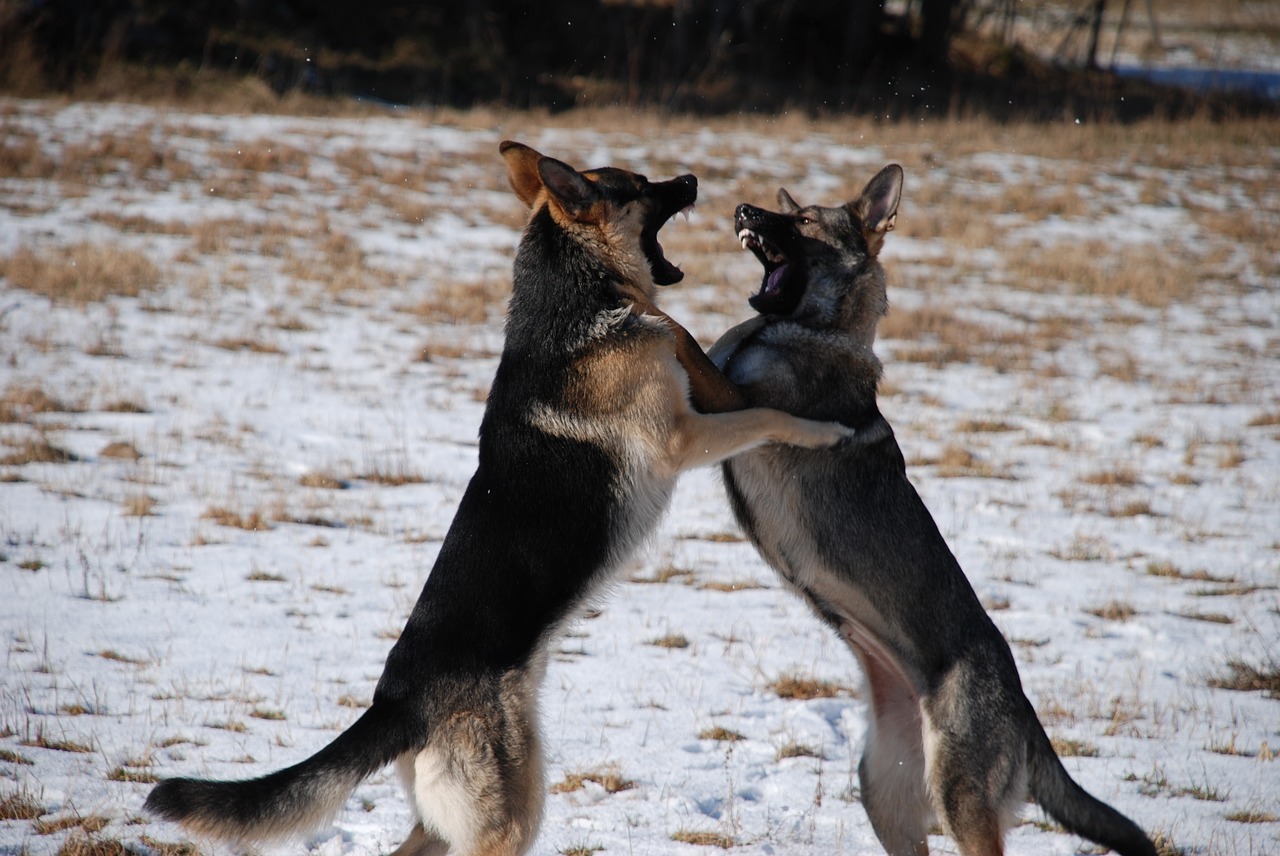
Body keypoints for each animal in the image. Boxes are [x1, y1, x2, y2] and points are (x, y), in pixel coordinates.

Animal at [145, 143, 849, 849]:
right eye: (639, 185)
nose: (692, 180)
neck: (579, 302)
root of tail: (397, 702)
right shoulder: (683, 438)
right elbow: (767, 416)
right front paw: (827, 430)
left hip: (461, 811)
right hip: (511, 814)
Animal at [711, 168, 1162, 854]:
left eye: (807, 221)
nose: (741, 208)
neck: (817, 331)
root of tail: (1023, 708)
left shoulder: (739, 399)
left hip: (960, 801)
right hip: (884, 795)